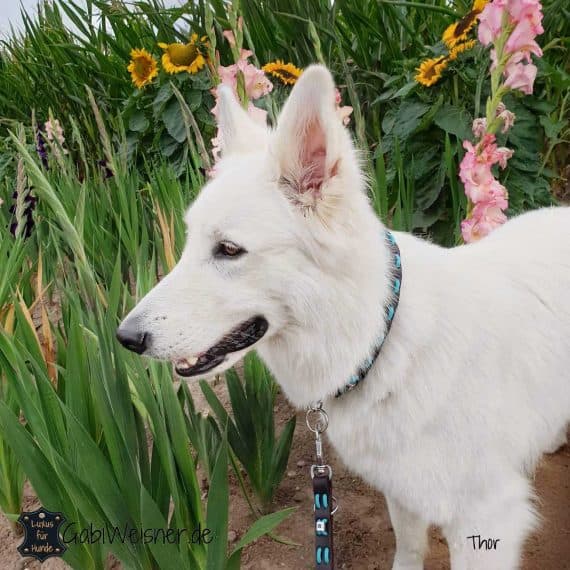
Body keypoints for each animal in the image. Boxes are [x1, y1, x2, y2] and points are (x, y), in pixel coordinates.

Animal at [118, 66, 568, 568]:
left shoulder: (486, 520)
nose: (125, 337)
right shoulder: (403, 494)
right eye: (189, 241)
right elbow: (408, 550)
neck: (382, 341)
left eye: (229, 250)